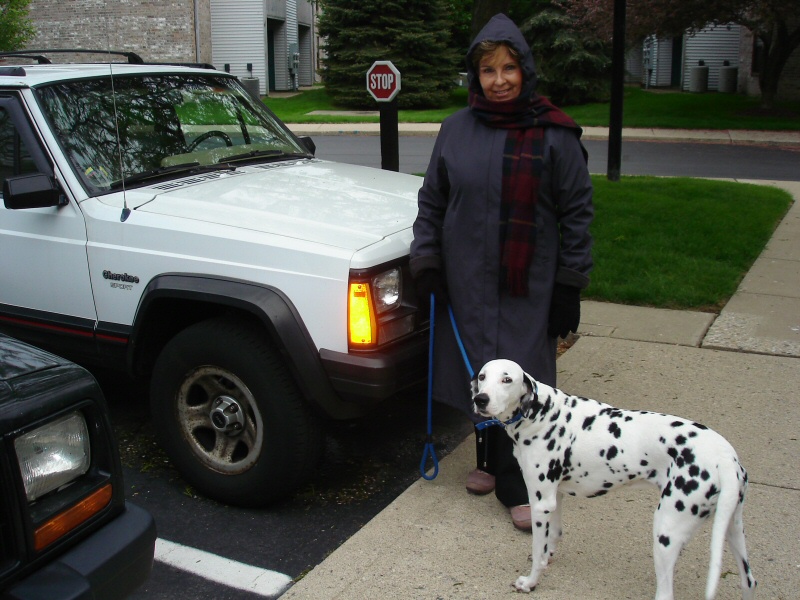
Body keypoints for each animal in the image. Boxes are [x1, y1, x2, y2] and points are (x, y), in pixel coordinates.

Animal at [472, 358, 760, 596]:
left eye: (507, 379)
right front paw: (547, 556)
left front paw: (531, 582)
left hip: (666, 533)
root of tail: (725, 458)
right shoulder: (555, 498)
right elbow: (552, 537)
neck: (542, 412)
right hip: (733, 527)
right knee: (749, 581)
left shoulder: (540, 504)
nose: (480, 399)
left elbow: (537, 549)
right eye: (483, 376)